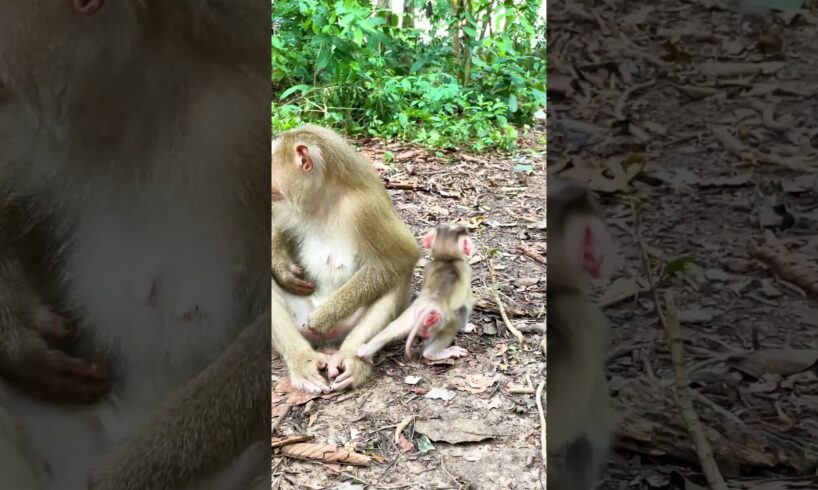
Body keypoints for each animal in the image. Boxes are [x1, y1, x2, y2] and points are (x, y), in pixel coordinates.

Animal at [270, 126, 418, 394]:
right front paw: (284, 270)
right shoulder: (285, 202)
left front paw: (323, 317)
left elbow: (403, 256)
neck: (324, 195)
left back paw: (351, 355)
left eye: (273, 161)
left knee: (397, 277)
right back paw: (302, 359)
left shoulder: (366, 208)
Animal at [356, 224, 472, 362]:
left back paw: (364, 351)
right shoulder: (466, 271)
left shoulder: (429, 267)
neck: (447, 259)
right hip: (442, 320)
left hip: (410, 315)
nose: (464, 228)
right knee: (451, 327)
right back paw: (433, 354)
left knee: (392, 328)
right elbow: (466, 305)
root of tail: (430, 305)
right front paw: (467, 327)